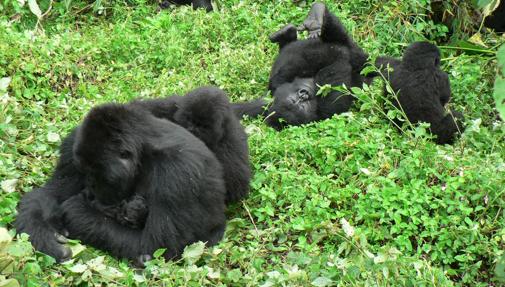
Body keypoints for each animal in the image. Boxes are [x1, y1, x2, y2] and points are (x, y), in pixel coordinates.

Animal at [233, 1, 374, 129]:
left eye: (300, 98)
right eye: (301, 104)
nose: (304, 94)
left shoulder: (269, 94)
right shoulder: (324, 113)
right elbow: (335, 84)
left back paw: (313, 19)